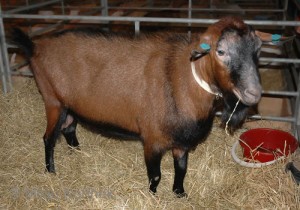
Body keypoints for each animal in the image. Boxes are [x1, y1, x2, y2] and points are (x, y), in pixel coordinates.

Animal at [11, 16, 278, 197]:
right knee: (48, 138)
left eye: (258, 49)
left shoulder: (181, 140)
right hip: (53, 100)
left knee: (68, 127)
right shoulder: (152, 139)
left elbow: (181, 168)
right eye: (220, 51)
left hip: (69, 104)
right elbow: (156, 174)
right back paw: (51, 171)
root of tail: (36, 46)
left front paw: (179, 193)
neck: (182, 81)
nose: (253, 93)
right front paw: (153, 195)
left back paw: (77, 152)